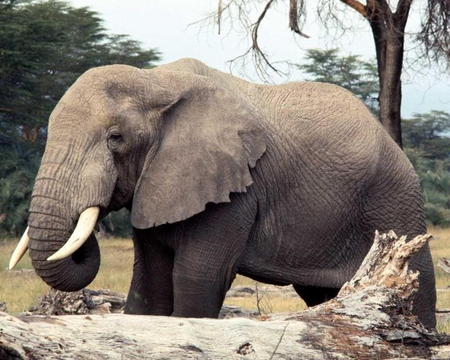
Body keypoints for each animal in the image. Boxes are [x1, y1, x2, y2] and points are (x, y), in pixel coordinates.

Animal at [7, 57, 436, 328]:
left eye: (115, 139)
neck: (154, 81)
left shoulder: (235, 191)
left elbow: (197, 276)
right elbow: (149, 284)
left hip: (395, 200)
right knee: (321, 297)